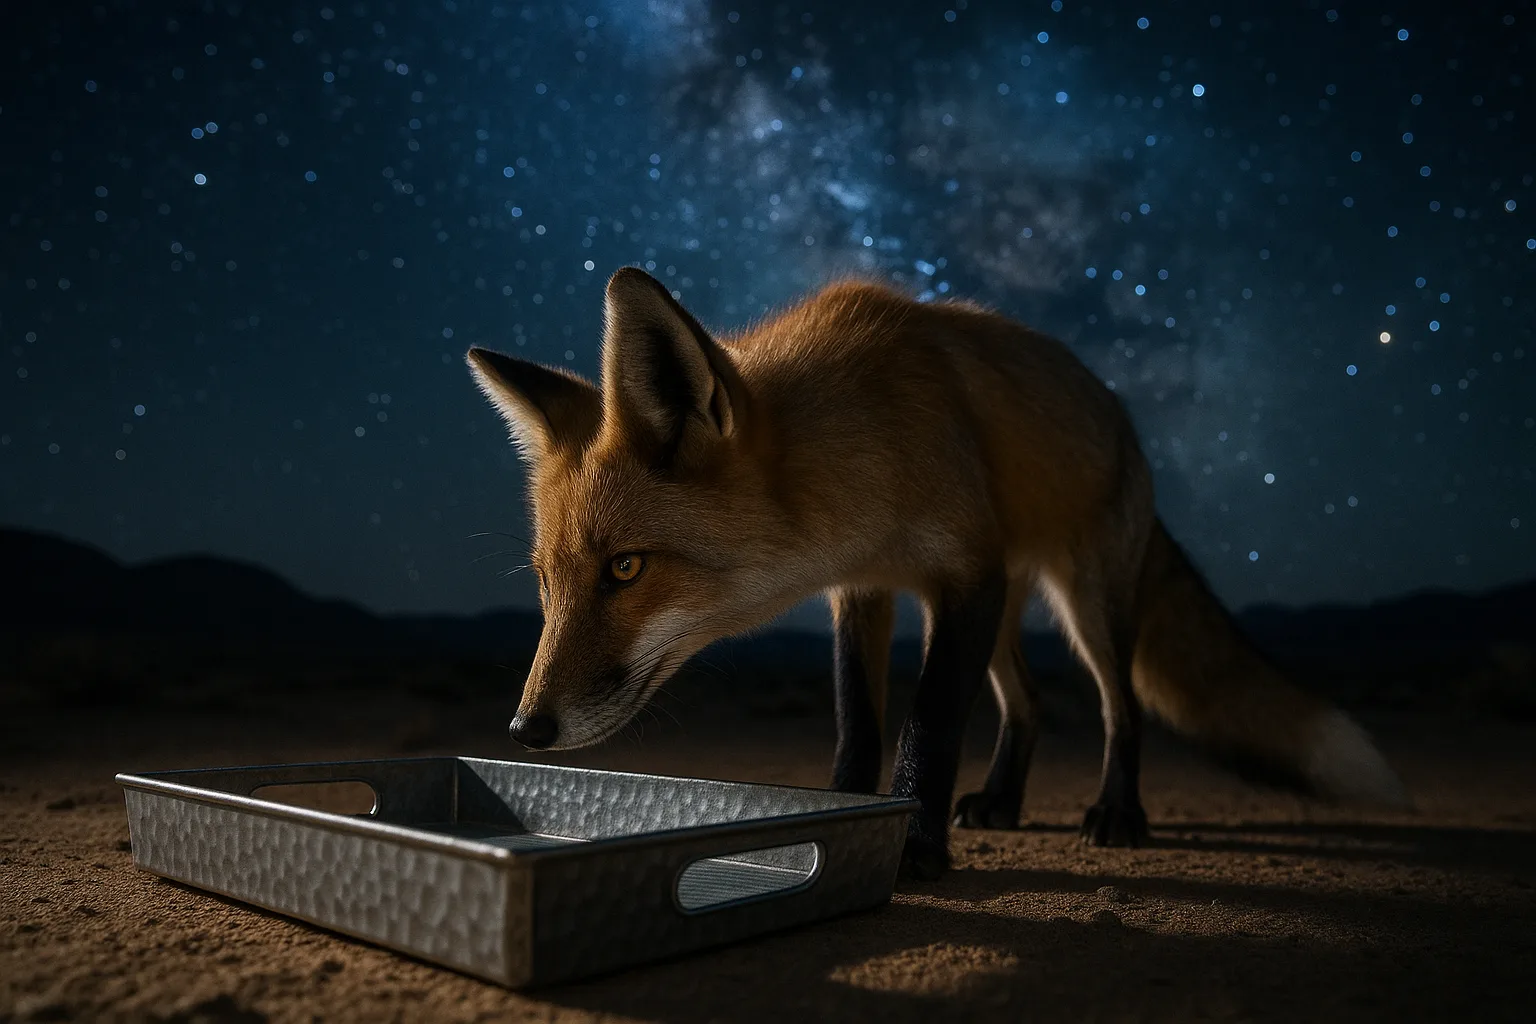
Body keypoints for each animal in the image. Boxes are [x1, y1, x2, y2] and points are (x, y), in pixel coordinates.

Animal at [464, 266, 1411, 880]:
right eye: (546, 583)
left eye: (626, 569)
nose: (526, 729)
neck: (868, 449)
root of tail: (1121, 418)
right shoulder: (866, 591)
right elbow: (859, 724)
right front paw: (835, 822)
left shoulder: (961, 577)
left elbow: (929, 722)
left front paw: (915, 846)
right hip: (1008, 611)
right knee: (1029, 707)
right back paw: (1001, 801)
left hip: (1082, 602)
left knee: (1121, 705)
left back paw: (1118, 811)